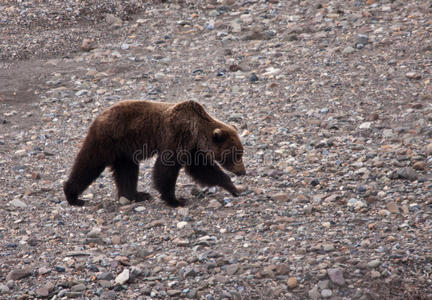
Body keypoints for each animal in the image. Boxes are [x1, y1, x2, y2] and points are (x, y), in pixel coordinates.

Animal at [63, 99, 246, 207]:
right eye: (236, 155)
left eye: (241, 153)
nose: (242, 171)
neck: (197, 132)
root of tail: (99, 116)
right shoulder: (177, 136)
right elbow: (166, 169)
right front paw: (175, 199)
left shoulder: (192, 148)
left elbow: (202, 169)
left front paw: (234, 188)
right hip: (107, 140)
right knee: (89, 164)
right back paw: (73, 196)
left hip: (125, 151)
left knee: (127, 171)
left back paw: (136, 195)